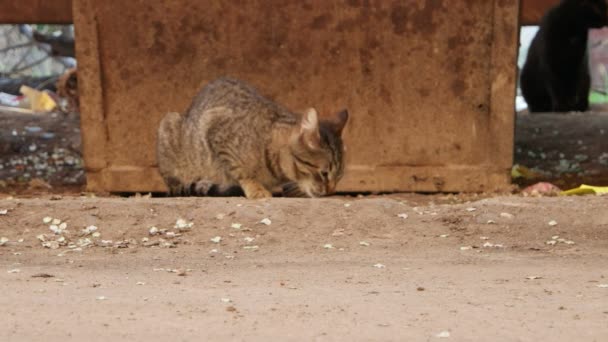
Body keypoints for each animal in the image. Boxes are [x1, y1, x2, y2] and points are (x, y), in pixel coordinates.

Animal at [154, 78, 350, 199]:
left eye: (339, 176)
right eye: (324, 173)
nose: (331, 191)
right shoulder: (215, 128)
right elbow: (241, 170)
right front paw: (256, 189)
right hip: (169, 124)